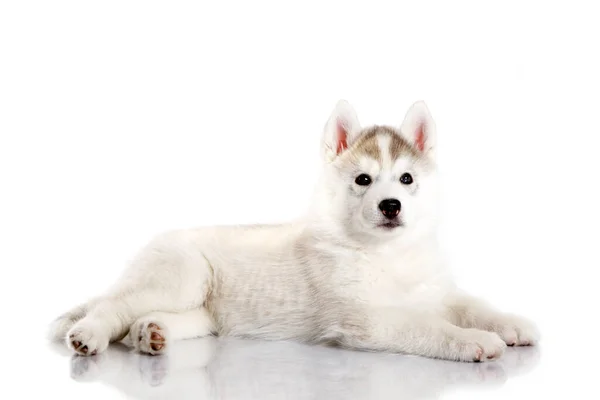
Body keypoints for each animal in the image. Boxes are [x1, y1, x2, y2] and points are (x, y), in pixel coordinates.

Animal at [49, 101, 540, 362]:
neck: (387, 254)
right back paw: (90, 335)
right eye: (363, 180)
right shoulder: (365, 319)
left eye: (406, 179)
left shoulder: (437, 291)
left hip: (202, 307)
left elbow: (473, 305)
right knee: (112, 306)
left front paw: (510, 323)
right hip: (181, 277)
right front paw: (475, 341)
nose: (391, 205)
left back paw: (151, 333)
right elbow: (428, 326)